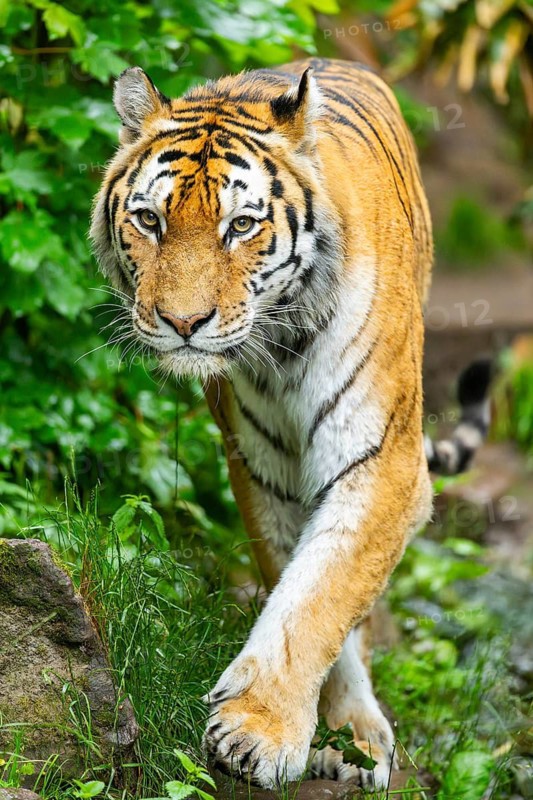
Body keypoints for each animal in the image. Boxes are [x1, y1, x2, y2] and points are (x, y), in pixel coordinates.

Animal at [91, 58, 491, 790]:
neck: (280, 345)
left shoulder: (382, 464)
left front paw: (258, 732)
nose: (182, 323)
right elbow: (299, 585)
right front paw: (318, 728)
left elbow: (320, 597)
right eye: (149, 220)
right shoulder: (263, 470)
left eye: (242, 226)